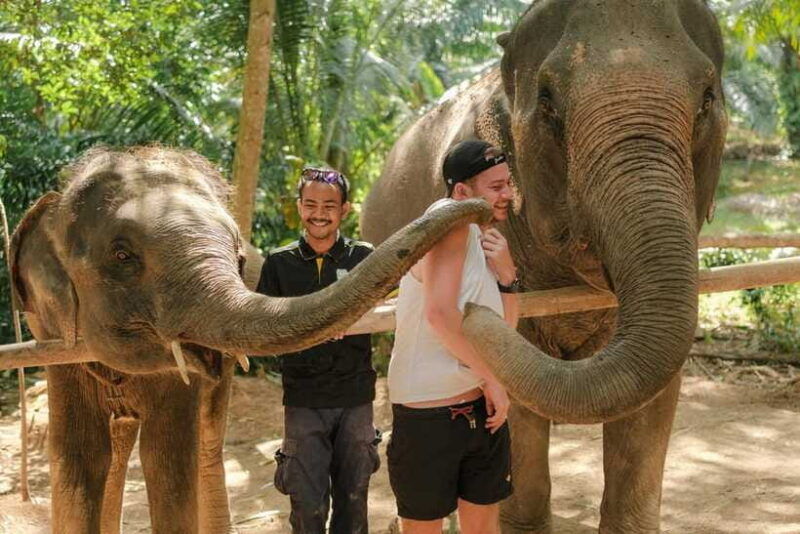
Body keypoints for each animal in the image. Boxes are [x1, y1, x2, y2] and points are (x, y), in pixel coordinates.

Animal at [4, 145, 492, 534]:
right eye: (122, 255)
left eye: (238, 257)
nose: (485, 209)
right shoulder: (54, 340)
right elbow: (78, 461)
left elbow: (168, 462)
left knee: (201, 445)